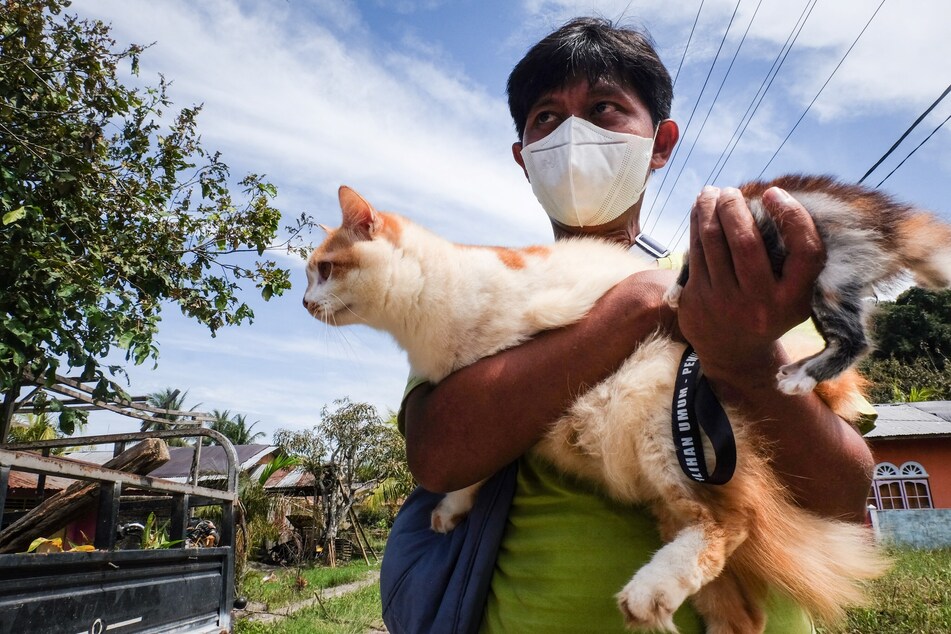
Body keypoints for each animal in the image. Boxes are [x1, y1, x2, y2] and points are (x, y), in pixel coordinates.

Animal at [302, 180, 920, 628]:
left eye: (325, 268)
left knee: (731, 523)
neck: (421, 323)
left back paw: (648, 592)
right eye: (308, 275)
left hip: (659, 423)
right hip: (673, 495)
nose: (305, 303)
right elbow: (477, 466)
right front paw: (453, 507)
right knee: (741, 610)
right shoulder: (470, 406)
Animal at [664, 173, 951, 396]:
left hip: (836, 274)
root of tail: (892, 231)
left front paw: (676, 289)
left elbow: (690, 260)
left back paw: (803, 378)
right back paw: (797, 367)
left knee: (855, 341)